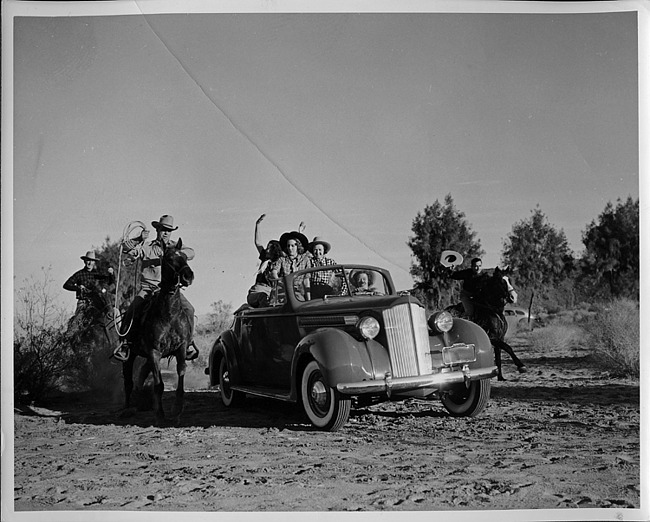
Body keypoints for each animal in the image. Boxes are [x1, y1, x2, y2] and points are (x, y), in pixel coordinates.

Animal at [120, 238, 194, 424]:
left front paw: (177, 411)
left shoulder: (181, 349)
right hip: (129, 356)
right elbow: (158, 385)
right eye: (169, 258)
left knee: (140, 374)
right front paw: (159, 415)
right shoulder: (154, 352)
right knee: (128, 382)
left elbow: (180, 377)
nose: (188, 276)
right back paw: (126, 408)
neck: (169, 314)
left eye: (185, 257)